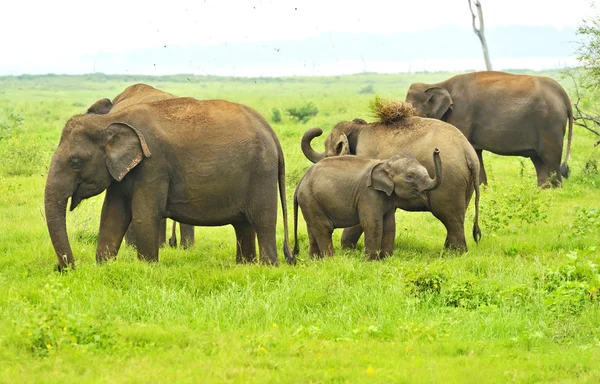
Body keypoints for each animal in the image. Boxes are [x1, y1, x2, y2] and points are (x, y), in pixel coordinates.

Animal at [294, 148, 440, 260]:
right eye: (410, 176)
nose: (436, 150)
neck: (385, 162)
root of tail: (300, 182)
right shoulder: (368, 194)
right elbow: (373, 224)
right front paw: (371, 261)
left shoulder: (387, 197)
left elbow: (389, 225)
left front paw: (386, 259)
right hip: (310, 198)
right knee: (324, 228)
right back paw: (330, 260)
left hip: (310, 202)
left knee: (312, 229)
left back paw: (315, 260)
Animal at [302, 97, 480, 250]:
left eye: (328, 152)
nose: (318, 130)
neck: (359, 129)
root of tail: (468, 152)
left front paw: (347, 250)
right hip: (464, 183)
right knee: (457, 215)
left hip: (449, 182)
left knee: (450, 217)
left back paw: (455, 252)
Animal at [406, 71, 576, 188]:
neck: (437, 84)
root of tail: (563, 94)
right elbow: (475, 153)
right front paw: (483, 189)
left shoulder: (462, 115)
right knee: (539, 160)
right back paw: (542, 191)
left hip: (550, 123)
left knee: (550, 158)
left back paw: (556, 190)